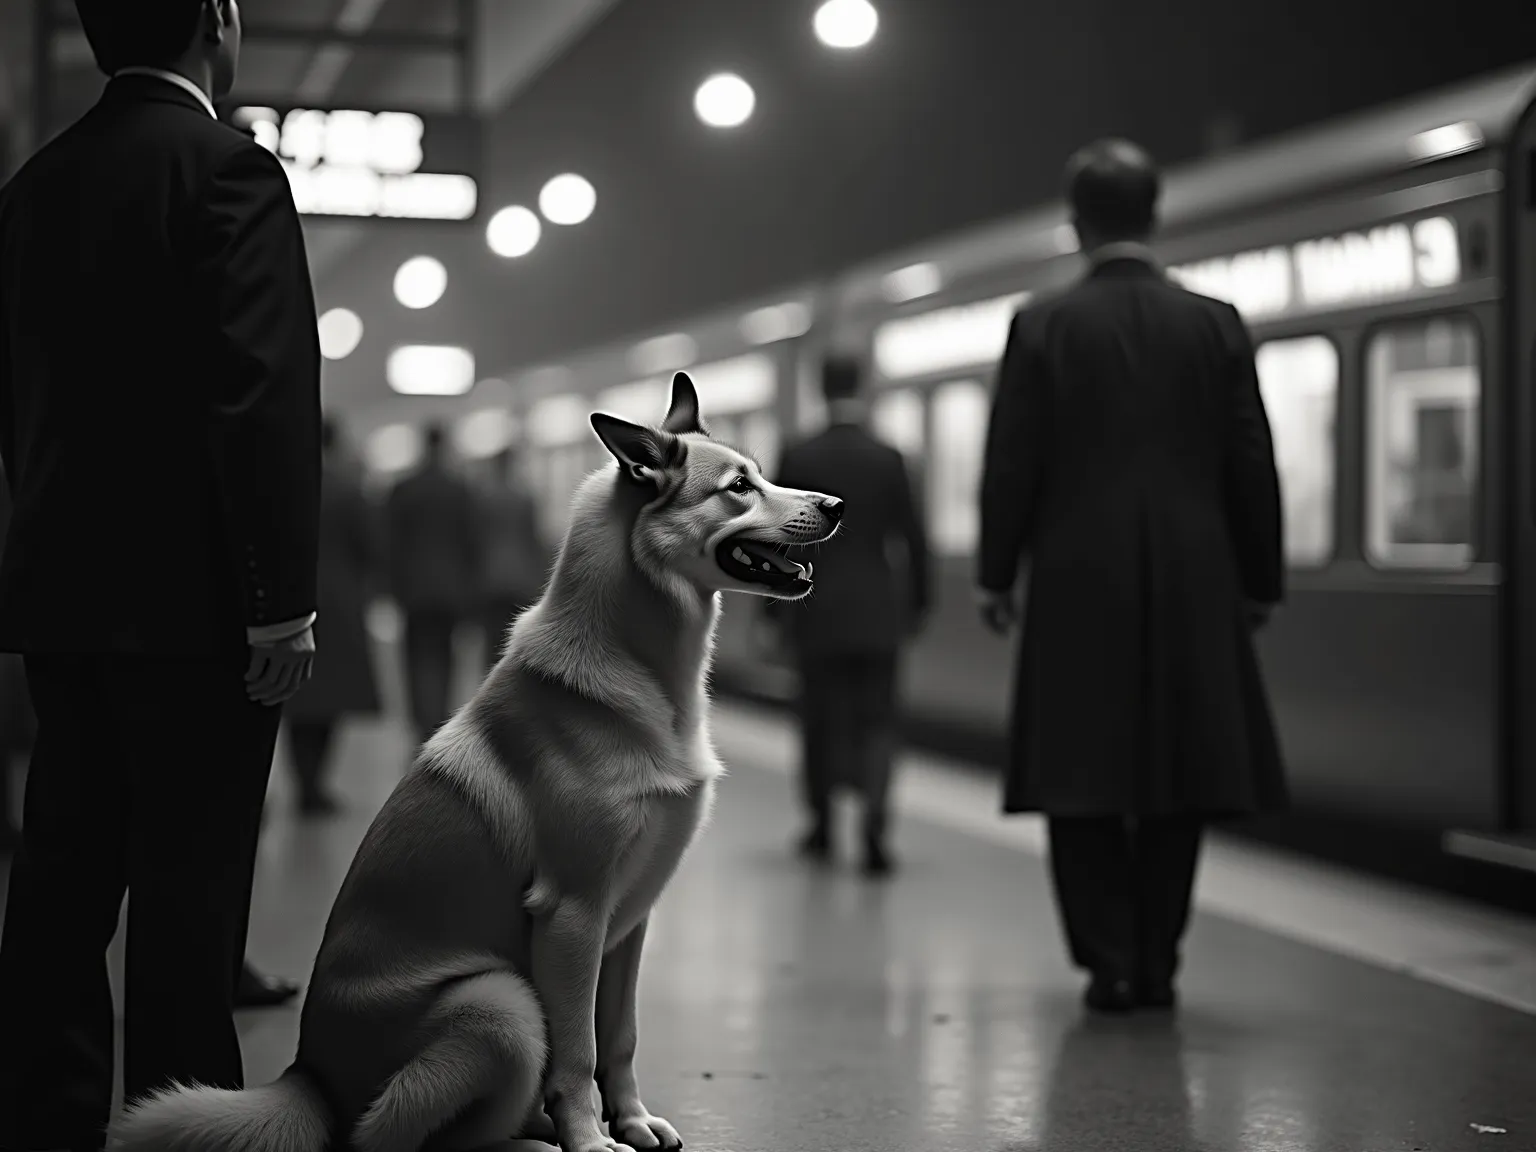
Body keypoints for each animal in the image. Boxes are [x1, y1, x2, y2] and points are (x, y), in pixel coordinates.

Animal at [106, 370, 847, 1152]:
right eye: (739, 486)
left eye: (760, 473)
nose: (836, 505)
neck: (642, 671)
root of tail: (311, 1077)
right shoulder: (573, 916)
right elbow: (578, 1049)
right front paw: (590, 1139)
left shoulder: (630, 922)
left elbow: (619, 1036)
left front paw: (633, 1121)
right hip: (502, 1003)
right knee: (392, 1136)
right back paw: (536, 1137)